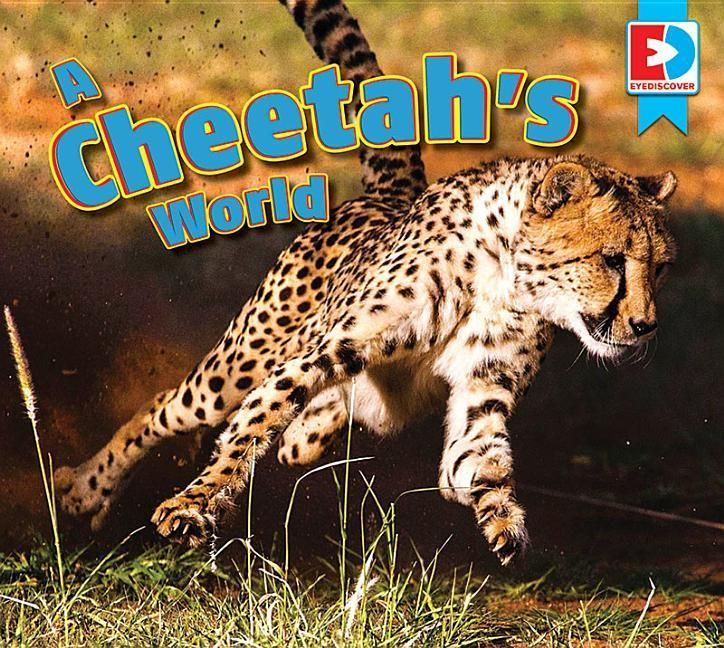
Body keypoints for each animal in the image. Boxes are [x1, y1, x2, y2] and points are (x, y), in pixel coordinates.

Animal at [54, 0, 677, 566]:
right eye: (613, 260)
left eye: (661, 267)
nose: (646, 326)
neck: (504, 279)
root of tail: (388, 194)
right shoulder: (330, 347)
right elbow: (256, 422)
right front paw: (196, 502)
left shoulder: (483, 394)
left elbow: (478, 461)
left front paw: (504, 522)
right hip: (236, 366)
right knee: (167, 408)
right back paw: (84, 489)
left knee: (305, 437)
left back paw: (314, 427)